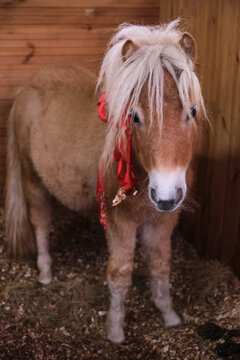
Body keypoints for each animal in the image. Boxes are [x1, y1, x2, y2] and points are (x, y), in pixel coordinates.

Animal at [4, 20, 205, 344]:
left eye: (192, 111)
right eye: (134, 116)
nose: (165, 195)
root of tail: (27, 87)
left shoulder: (163, 221)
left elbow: (161, 264)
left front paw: (168, 314)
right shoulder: (120, 222)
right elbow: (120, 273)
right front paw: (115, 330)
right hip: (32, 179)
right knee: (40, 222)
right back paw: (45, 272)